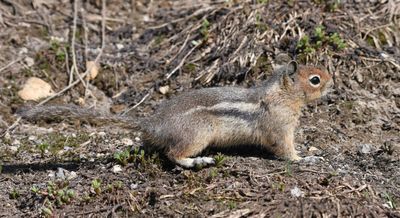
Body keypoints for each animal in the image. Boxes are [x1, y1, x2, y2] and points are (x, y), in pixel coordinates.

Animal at [21, 62, 334, 168]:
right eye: (315, 79)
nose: (333, 83)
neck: (282, 94)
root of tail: (152, 123)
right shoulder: (280, 129)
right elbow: (285, 150)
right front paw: (305, 159)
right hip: (198, 134)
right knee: (173, 154)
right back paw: (197, 161)